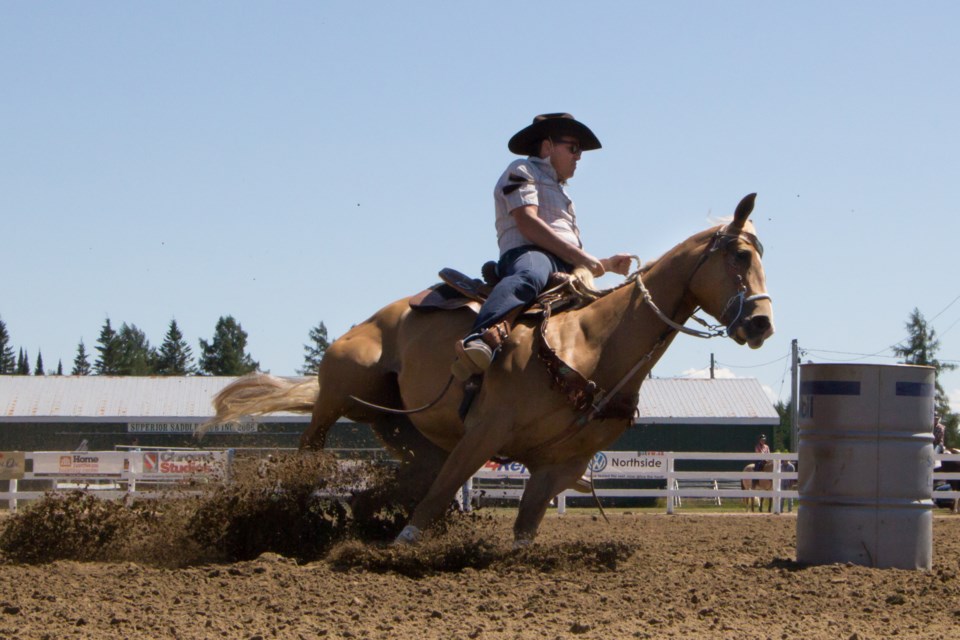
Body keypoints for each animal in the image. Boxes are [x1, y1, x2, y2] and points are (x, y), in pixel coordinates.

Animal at [208, 194, 772, 544]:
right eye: (740, 255)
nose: (762, 323)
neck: (590, 344)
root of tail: (364, 325)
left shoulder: (559, 463)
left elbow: (523, 527)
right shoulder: (484, 431)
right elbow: (434, 502)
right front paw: (401, 545)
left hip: (410, 433)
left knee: (387, 485)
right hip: (341, 394)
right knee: (311, 451)